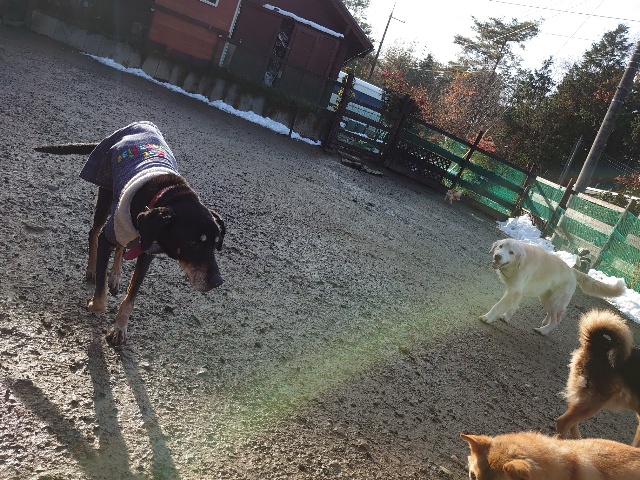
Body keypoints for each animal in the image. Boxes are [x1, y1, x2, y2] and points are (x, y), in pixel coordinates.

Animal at [35, 121, 225, 346]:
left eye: (216, 244)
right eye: (193, 243)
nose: (217, 282)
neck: (168, 193)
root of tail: (136, 124)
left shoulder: (148, 251)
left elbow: (131, 296)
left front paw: (119, 327)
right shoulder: (108, 237)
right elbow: (101, 297)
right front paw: (94, 302)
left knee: (122, 246)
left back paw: (116, 275)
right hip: (107, 197)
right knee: (94, 232)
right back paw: (92, 269)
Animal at [480, 238, 625, 335]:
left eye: (511, 252)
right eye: (500, 246)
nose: (497, 256)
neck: (518, 264)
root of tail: (572, 271)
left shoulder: (514, 291)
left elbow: (497, 306)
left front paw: (487, 318)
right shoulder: (516, 292)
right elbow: (513, 306)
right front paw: (506, 317)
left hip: (556, 300)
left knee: (556, 320)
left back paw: (544, 331)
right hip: (547, 298)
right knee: (552, 314)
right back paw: (545, 322)